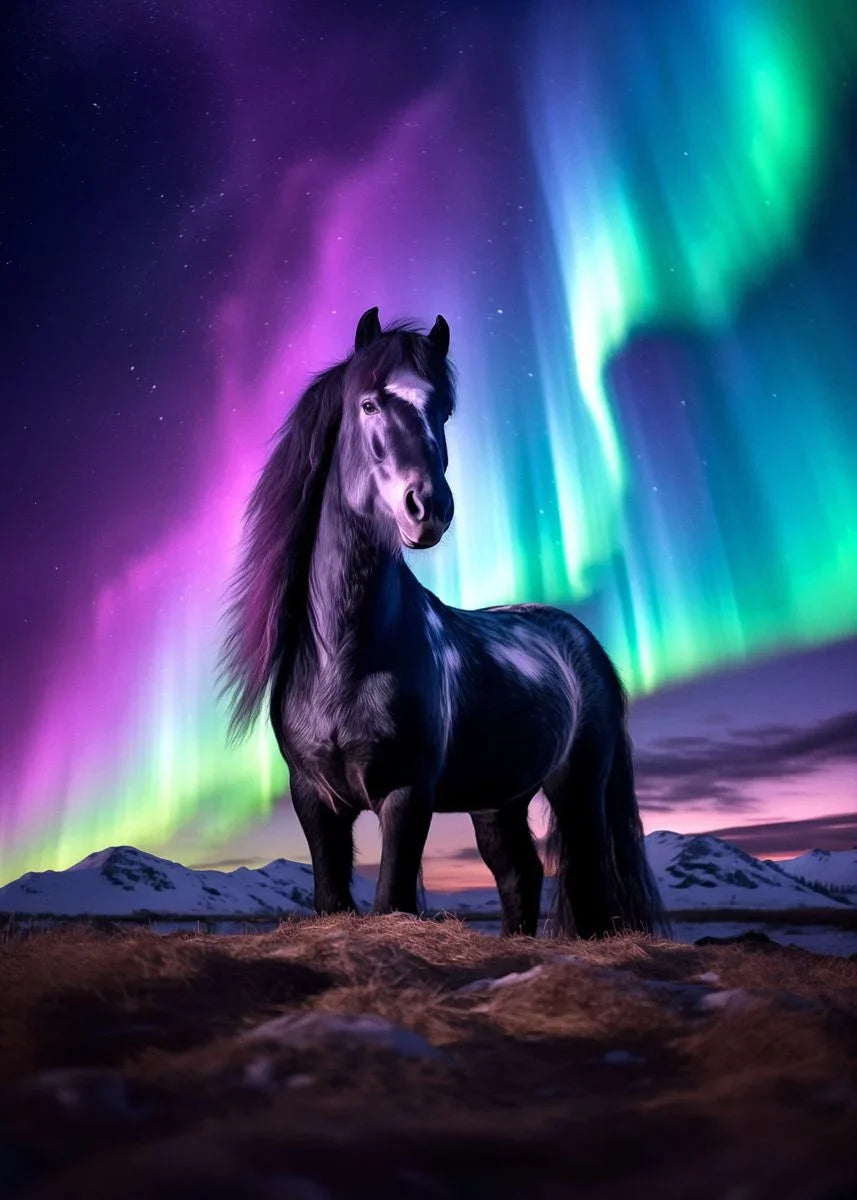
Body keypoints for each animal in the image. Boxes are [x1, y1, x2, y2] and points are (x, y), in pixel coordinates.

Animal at [219, 307, 665, 938]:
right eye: (368, 404)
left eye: (443, 411)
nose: (427, 507)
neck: (344, 656)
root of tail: (581, 640)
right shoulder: (314, 799)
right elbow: (332, 899)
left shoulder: (408, 793)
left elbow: (392, 900)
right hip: (499, 797)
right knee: (520, 873)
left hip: (578, 788)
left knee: (588, 879)